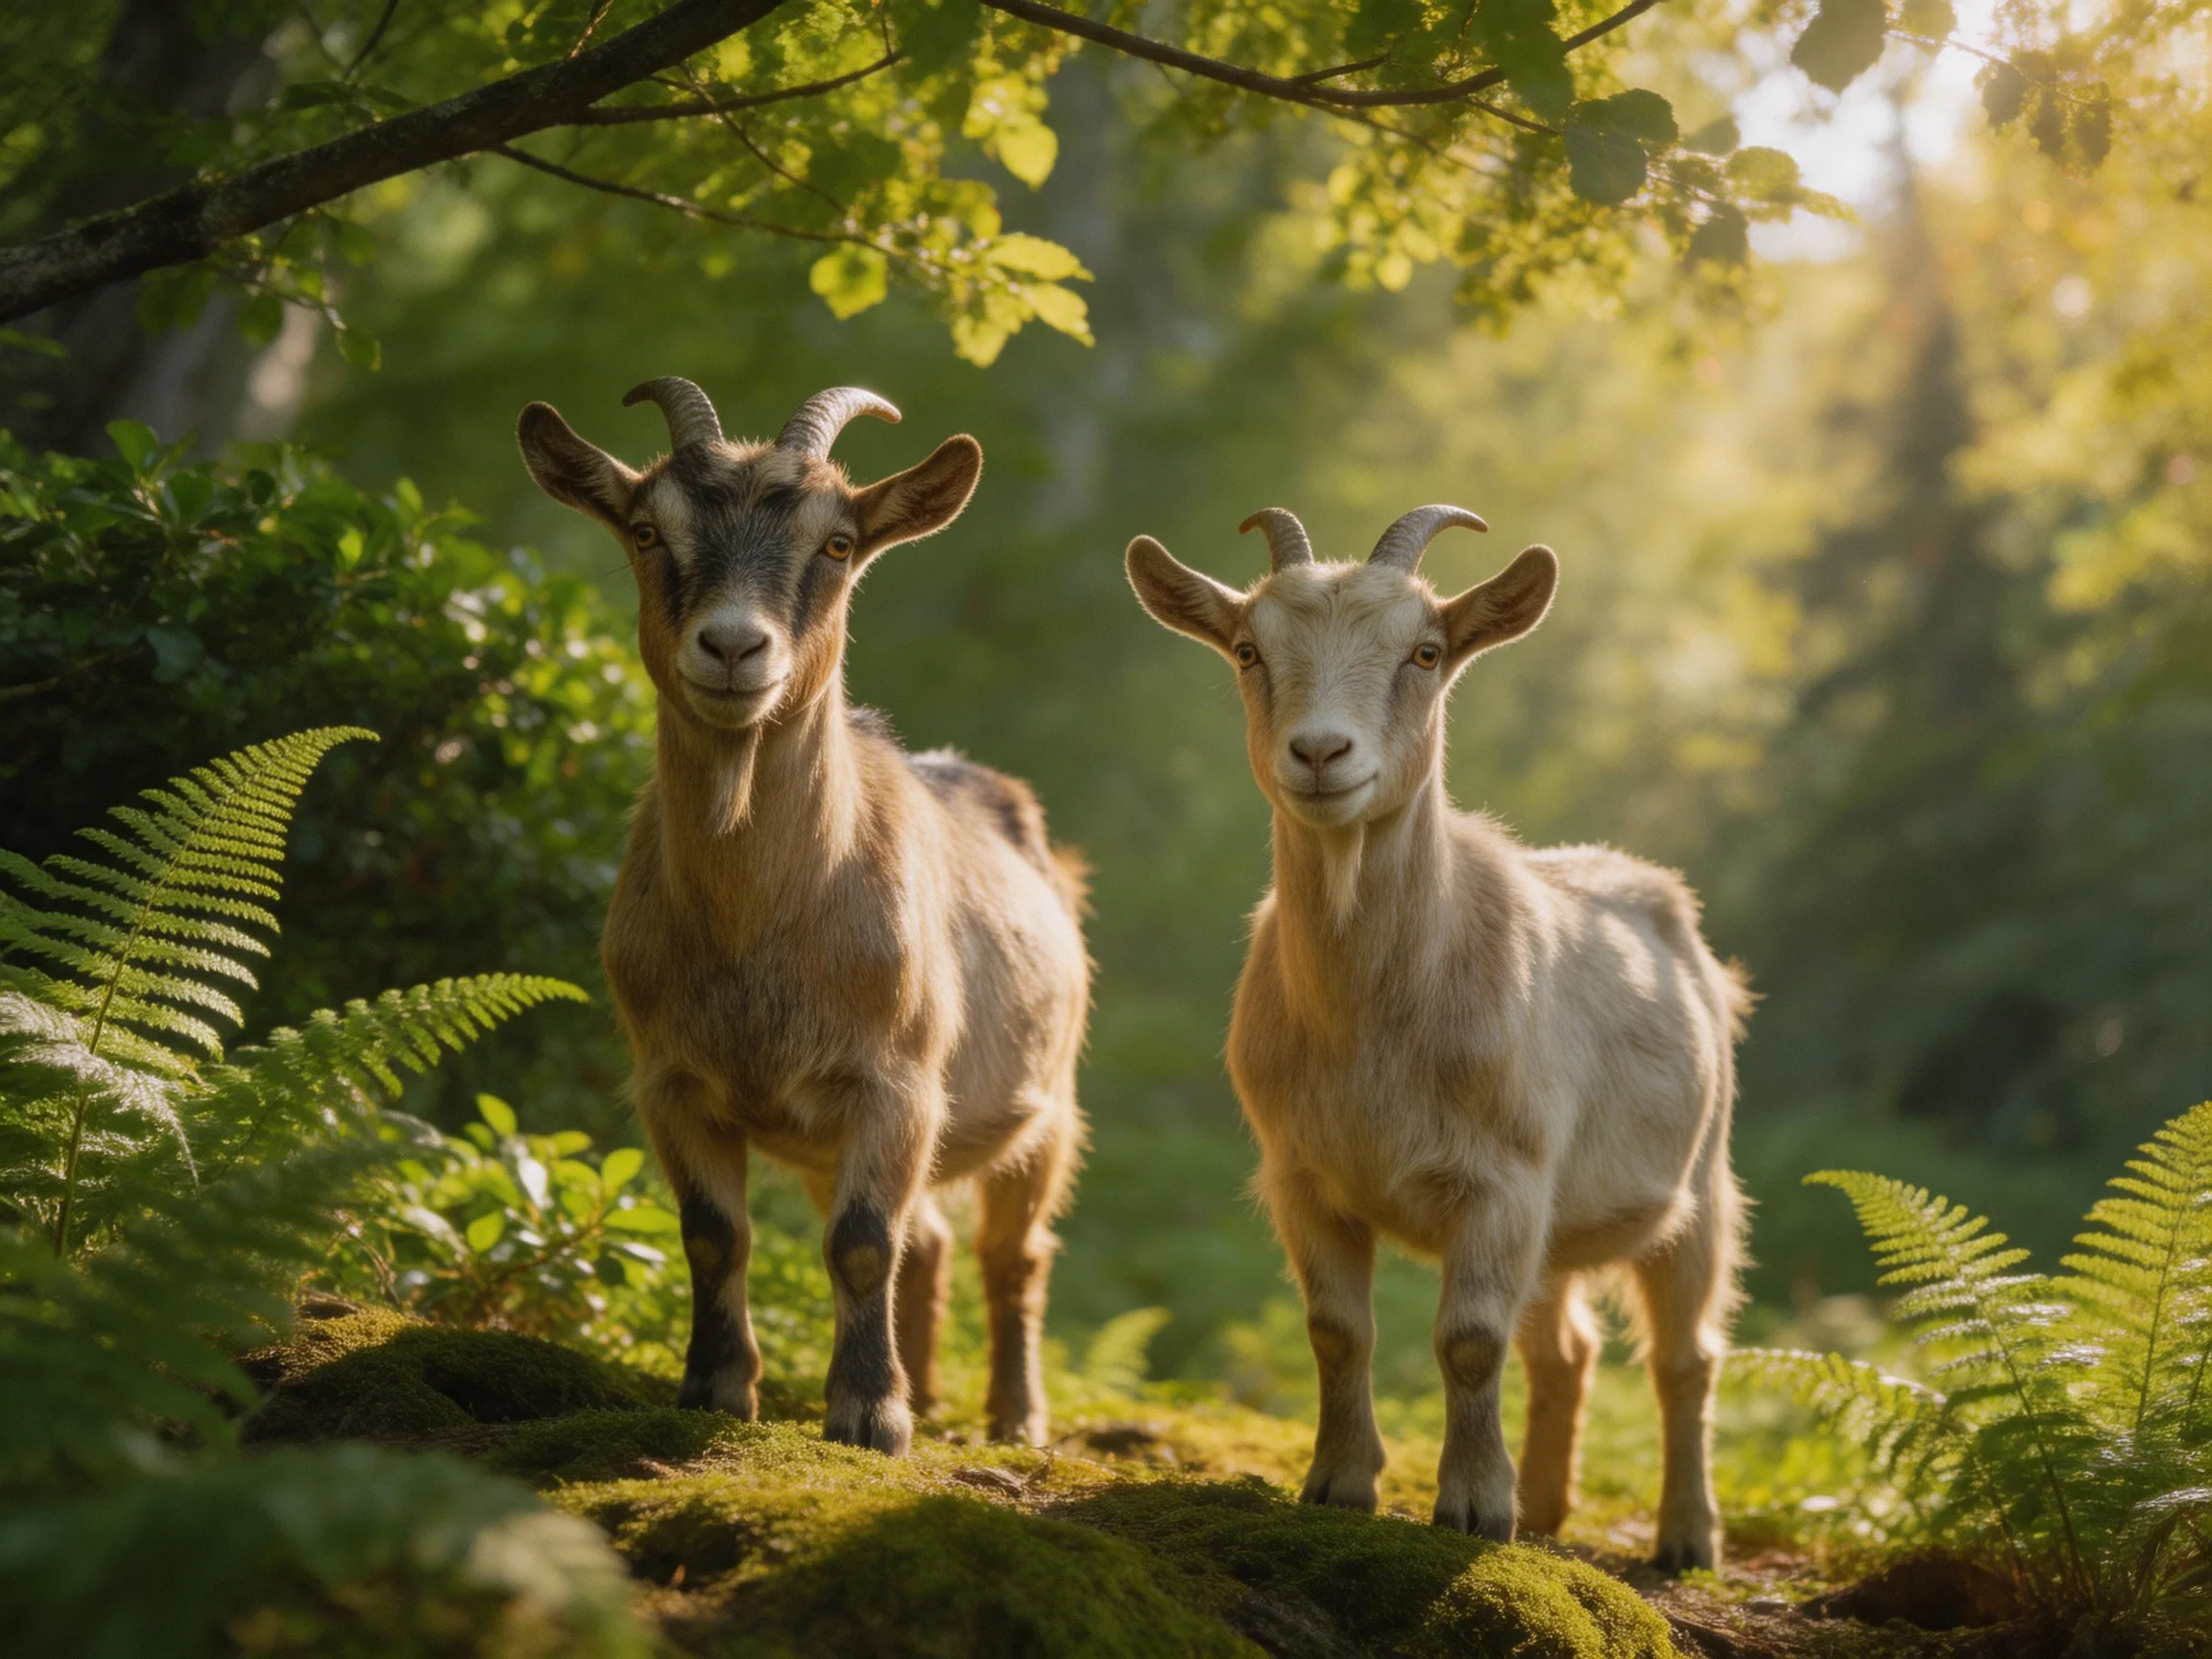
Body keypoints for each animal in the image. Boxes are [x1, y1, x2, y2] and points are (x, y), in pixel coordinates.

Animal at [518, 379, 1089, 1453]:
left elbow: (863, 1245)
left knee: (1013, 1253)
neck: (761, 930)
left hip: (1048, 1105)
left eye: (836, 542)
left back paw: (1014, 1418)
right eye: (648, 530)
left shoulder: (895, 1082)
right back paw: (934, 1393)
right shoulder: (673, 1081)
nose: (735, 646)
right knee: (932, 1239)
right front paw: (716, 1390)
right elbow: (714, 1235)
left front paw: (869, 1418)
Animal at [1125, 505, 1746, 1570]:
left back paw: (1684, 1538)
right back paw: (1548, 1508)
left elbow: (1468, 1341)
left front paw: (1471, 1512)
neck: (1376, 1023)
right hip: (1560, 1226)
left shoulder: (1503, 1180)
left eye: (1425, 652)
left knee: (1684, 1357)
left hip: (1699, 1186)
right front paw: (1339, 1487)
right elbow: (1337, 1329)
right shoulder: (1303, 1177)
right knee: (1565, 1347)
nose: (1320, 754)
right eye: (1249, 649)